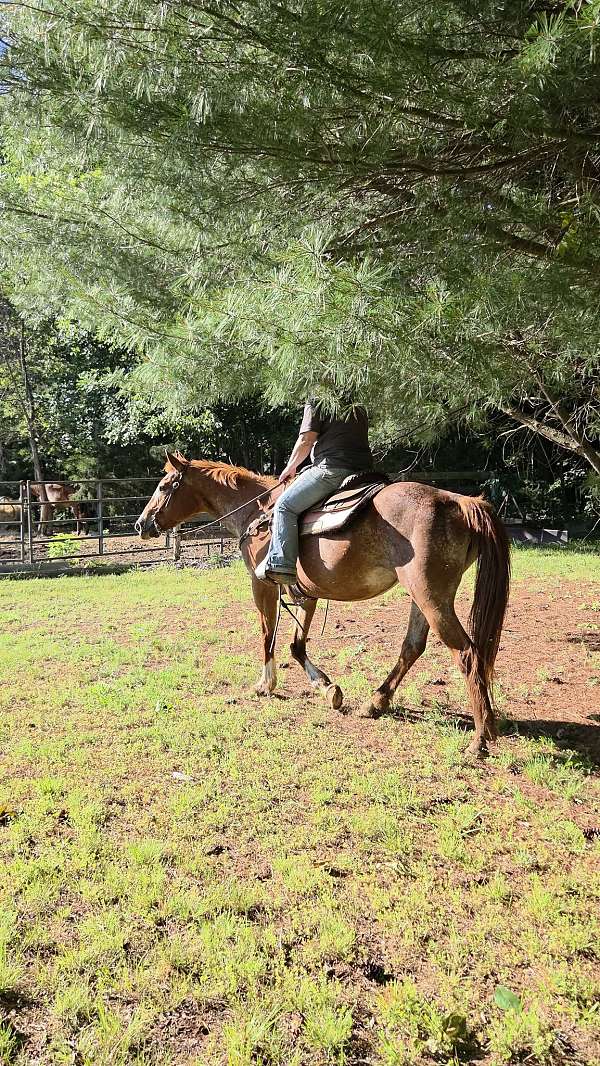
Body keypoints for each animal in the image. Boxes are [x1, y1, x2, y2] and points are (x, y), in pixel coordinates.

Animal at [135, 452, 510, 758]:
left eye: (165, 485)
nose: (141, 524)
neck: (258, 514)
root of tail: (459, 501)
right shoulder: (306, 593)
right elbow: (296, 645)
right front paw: (327, 688)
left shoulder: (262, 585)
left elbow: (268, 635)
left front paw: (266, 684)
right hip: (423, 598)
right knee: (413, 647)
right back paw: (376, 703)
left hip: (432, 597)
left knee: (467, 654)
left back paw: (480, 739)